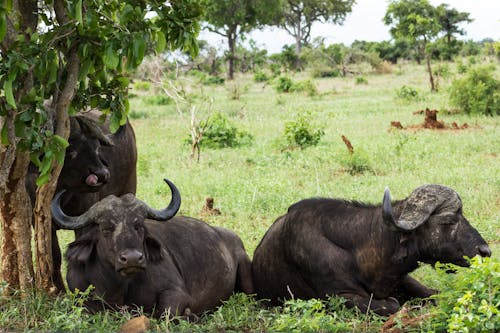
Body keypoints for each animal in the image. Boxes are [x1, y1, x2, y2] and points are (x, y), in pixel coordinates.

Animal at [26, 109, 137, 290]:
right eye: (70, 150)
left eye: (97, 147)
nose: (101, 174)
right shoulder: (39, 221)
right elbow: (53, 255)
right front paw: (58, 289)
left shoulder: (85, 220)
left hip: (129, 187)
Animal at [50, 179, 254, 316]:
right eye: (106, 228)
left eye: (139, 225)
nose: (132, 259)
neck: (121, 286)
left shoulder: (177, 293)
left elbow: (166, 313)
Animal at [254, 184, 492, 314]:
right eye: (449, 220)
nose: (485, 251)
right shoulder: (340, 296)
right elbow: (392, 305)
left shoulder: (400, 279)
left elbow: (436, 295)